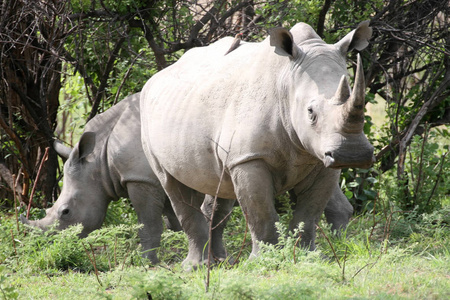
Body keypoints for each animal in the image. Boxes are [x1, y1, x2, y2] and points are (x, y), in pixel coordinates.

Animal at [141, 21, 372, 270]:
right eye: (311, 112)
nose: (352, 154)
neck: (287, 82)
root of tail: (154, 79)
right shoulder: (249, 157)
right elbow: (261, 213)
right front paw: (263, 261)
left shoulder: (320, 157)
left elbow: (309, 212)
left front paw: (306, 258)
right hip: (147, 117)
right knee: (172, 184)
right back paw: (197, 266)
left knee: (219, 186)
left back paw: (220, 261)